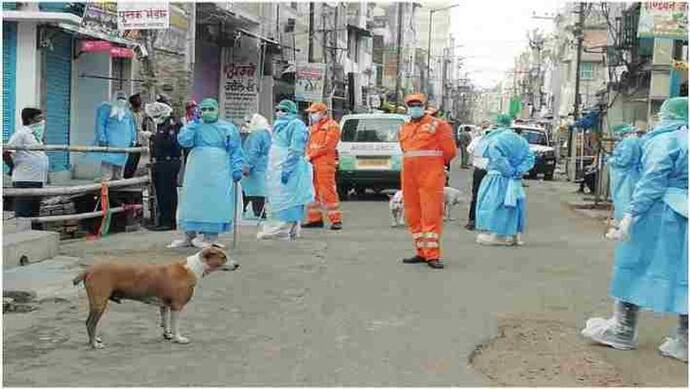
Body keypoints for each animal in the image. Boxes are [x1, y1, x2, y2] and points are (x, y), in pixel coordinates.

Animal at [71, 246, 235, 348]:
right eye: (223, 257)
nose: (237, 265)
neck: (192, 268)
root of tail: (89, 270)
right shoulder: (177, 306)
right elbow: (175, 325)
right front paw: (179, 338)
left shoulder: (165, 305)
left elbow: (165, 322)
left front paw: (167, 335)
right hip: (100, 302)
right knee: (90, 323)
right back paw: (95, 344)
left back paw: (95, 339)